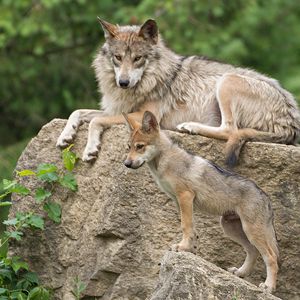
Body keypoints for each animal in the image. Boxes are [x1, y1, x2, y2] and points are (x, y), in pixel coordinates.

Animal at [55, 18, 300, 164]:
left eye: (138, 58)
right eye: (118, 57)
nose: (123, 82)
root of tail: (292, 123)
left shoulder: (140, 116)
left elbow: (95, 121)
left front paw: (90, 148)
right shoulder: (116, 110)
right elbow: (77, 112)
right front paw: (65, 135)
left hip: (226, 81)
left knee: (230, 130)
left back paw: (190, 127)